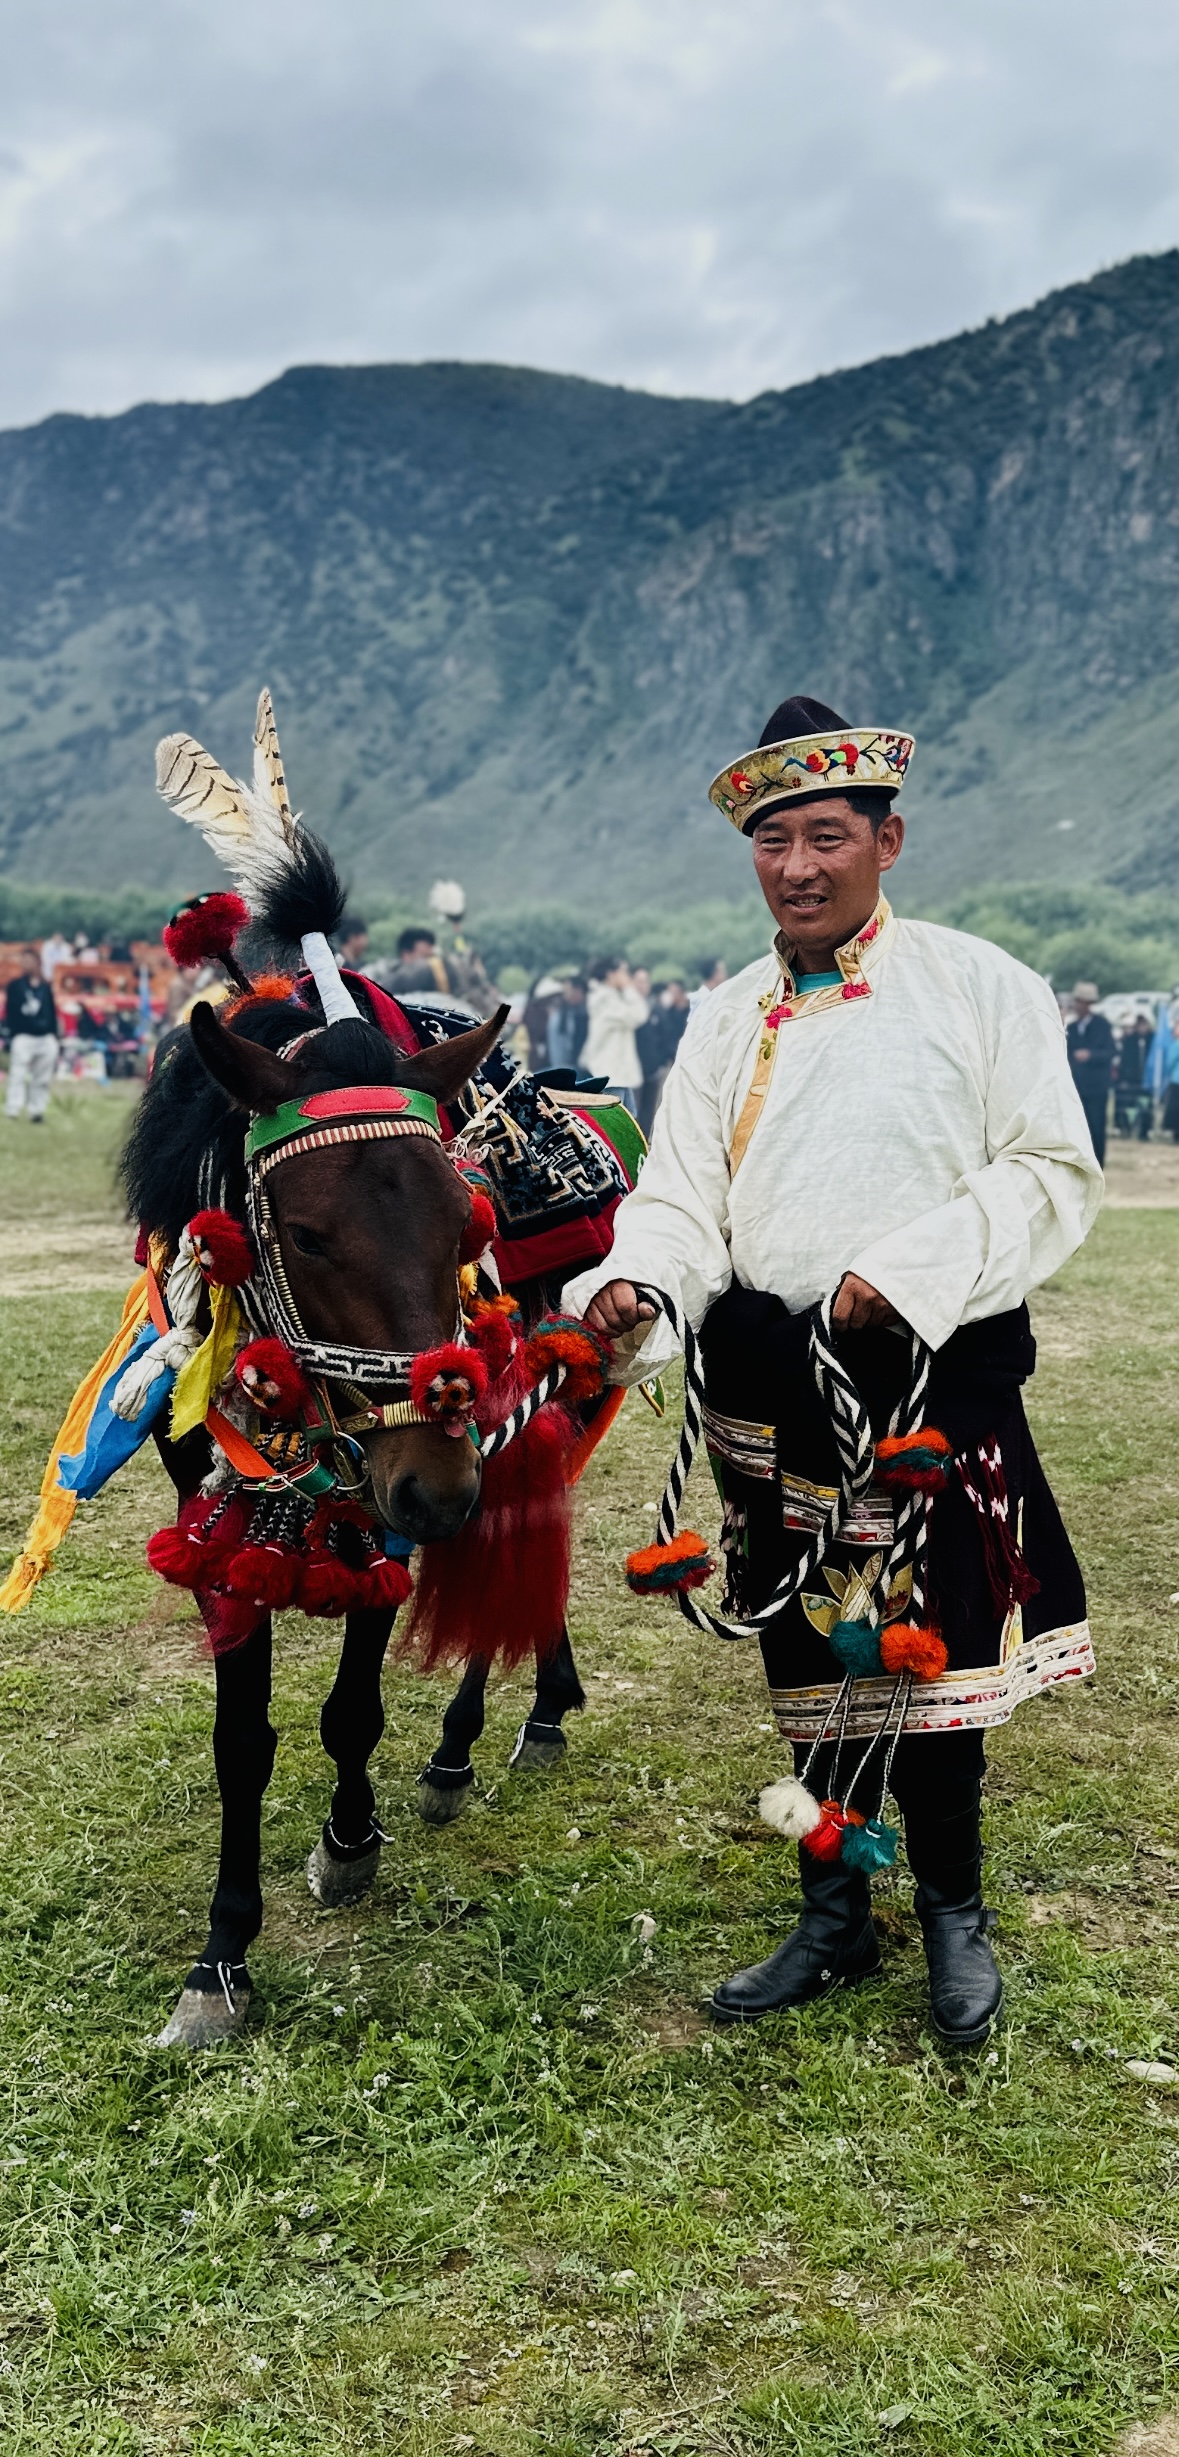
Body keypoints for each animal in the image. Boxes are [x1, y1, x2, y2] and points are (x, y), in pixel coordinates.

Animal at [0, 697, 638, 2054]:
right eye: (299, 1232)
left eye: (466, 1219)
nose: (435, 1490)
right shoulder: (215, 1492)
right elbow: (241, 1736)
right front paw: (220, 1959)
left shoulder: (393, 1480)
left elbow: (354, 1697)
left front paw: (350, 1838)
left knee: (531, 1512)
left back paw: (482, 1735)